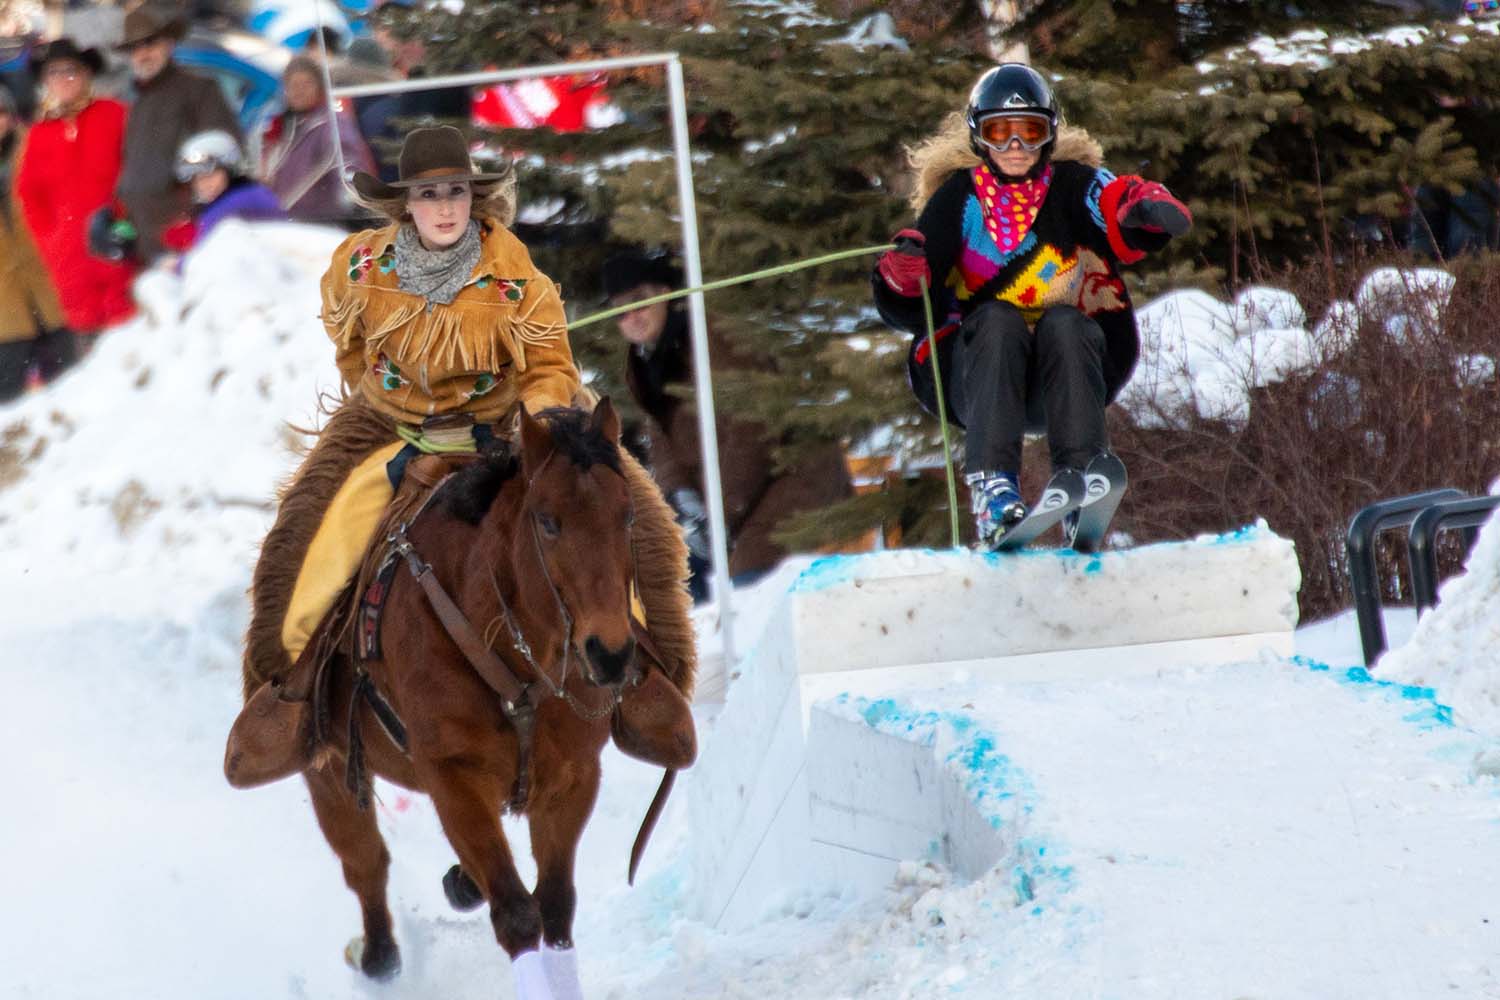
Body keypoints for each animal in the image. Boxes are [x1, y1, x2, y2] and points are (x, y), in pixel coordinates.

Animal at [292, 401, 663, 1000]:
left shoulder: (573, 777)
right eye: (548, 521)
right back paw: (379, 956)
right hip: (328, 771)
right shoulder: (452, 775)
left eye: (628, 516)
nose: (608, 653)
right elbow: (517, 912)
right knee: (365, 863)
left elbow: (555, 907)